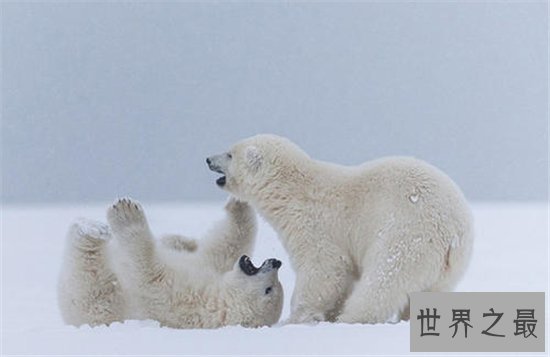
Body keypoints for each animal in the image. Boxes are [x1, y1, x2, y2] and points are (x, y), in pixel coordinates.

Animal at [57, 197, 284, 328]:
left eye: (269, 289)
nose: (276, 262)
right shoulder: (211, 269)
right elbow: (225, 247)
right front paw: (238, 203)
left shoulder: (181, 300)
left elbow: (149, 273)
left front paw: (126, 212)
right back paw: (182, 241)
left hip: (91, 296)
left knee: (86, 265)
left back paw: (92, 230)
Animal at [207, 134, 474, 322]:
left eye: (230, 154)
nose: (208, 159)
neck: (291, 191)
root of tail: (454, 231)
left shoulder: (313, 223)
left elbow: (325, 269)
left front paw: (298, 317)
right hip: (448, 268)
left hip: (406, 236)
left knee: (383, 281)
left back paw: (351, 317)